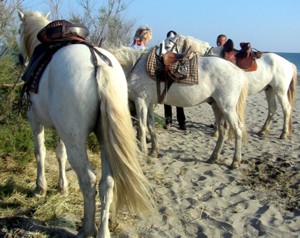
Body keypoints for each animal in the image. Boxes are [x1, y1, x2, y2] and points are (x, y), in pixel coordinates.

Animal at [17, 10, 156, 237]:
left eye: (19, 30)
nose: (21, 58)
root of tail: (98, 62)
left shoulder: (35, 121)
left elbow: (40, 153)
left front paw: (40, 188)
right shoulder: (62, 131)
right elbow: (60, 154)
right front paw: (62, 187)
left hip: (77, 141)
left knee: (89, 181)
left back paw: (87, 229)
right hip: (103, 139)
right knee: (107, 182)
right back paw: (103, 231)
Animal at [110, 46, 248, 169]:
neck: (133, 67)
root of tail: (238, 70)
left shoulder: (141, 101)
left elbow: (142, 127)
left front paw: (142, 152)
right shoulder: (149, 104)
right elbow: (151, 126)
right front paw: (154, 151)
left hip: (227, 107)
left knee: (238, 130)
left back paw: (235, 162)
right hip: (217, 106)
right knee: (222, 131)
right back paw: (213, 157)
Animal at [166, 35, 298, 139]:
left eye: (167, 46)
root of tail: (288, 63)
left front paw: (217, 131)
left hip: (280, 91)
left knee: (286, 109)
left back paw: (283, 134)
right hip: (269, 89)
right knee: (272, 109)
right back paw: (263, 131)